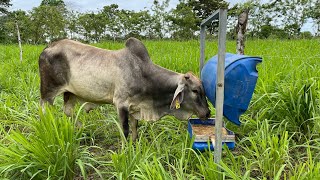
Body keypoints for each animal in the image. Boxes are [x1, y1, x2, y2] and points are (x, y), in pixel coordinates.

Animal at [38, 38, 210, 141]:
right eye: (195, 91)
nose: (208, 113)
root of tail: (48, 46)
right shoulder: (121, 104)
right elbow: (125, 130)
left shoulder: (135, 106)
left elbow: (134, 128)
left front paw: (134, 147)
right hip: (48, 92)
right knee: (45, 111)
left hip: (69, 93)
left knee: (68, 111)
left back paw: (80, 129)